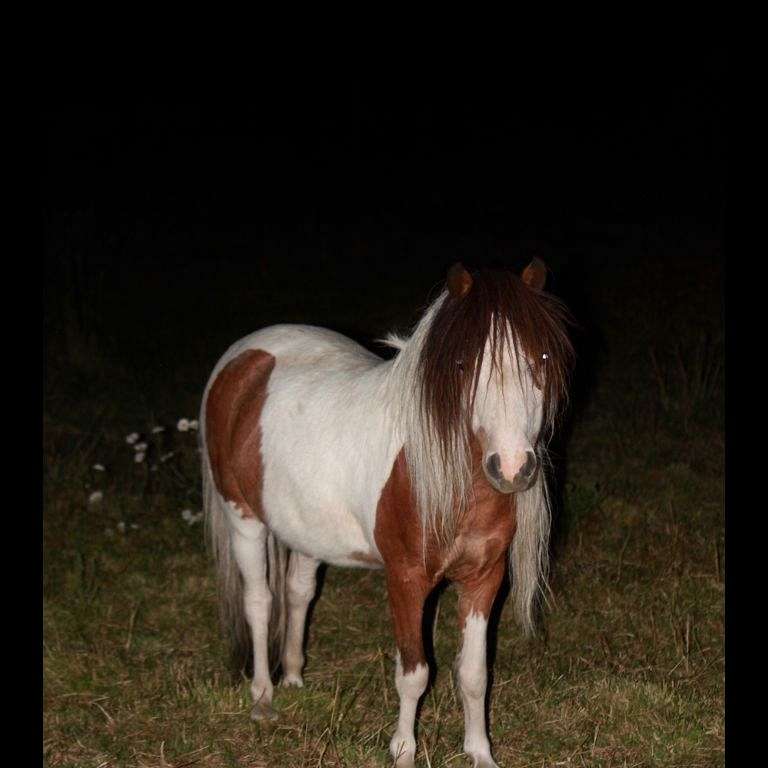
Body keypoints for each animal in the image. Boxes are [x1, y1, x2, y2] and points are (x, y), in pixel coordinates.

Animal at [201, 260, 572, 764]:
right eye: (463, 364)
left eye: (543, 358)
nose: (513, 468)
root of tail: (242, 357)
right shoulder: (406, 579)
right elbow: (414, 674)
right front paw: (403, 751)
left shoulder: (484, 578)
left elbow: (474, 674)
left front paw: (480, 752)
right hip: (243, 520)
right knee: (259, 602)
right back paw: (263, 697)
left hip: (305, 529)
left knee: (298, 592)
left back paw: (294, 678)